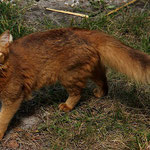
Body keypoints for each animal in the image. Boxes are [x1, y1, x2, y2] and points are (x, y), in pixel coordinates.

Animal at [0, 27, 149, 139]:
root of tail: (81, 30)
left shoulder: (12, 99)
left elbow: (3, 120)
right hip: (88, 68)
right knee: (102, 77)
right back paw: (100, 93)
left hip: (68, 75)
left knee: (78, 92)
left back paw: (67, 105)